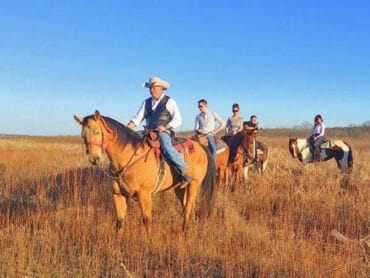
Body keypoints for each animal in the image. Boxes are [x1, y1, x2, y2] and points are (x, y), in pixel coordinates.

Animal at [73, 111, 215, 235]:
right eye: (83, 135)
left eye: (97, 132)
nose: (94, 158)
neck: (130, 158)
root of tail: (200, 147)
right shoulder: (118, 194)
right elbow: (119, 222)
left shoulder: (144, 195)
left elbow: (147, 221)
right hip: (179, 188)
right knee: (186, 206)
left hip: (194, 185)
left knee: (189, 206)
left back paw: (184, 231)